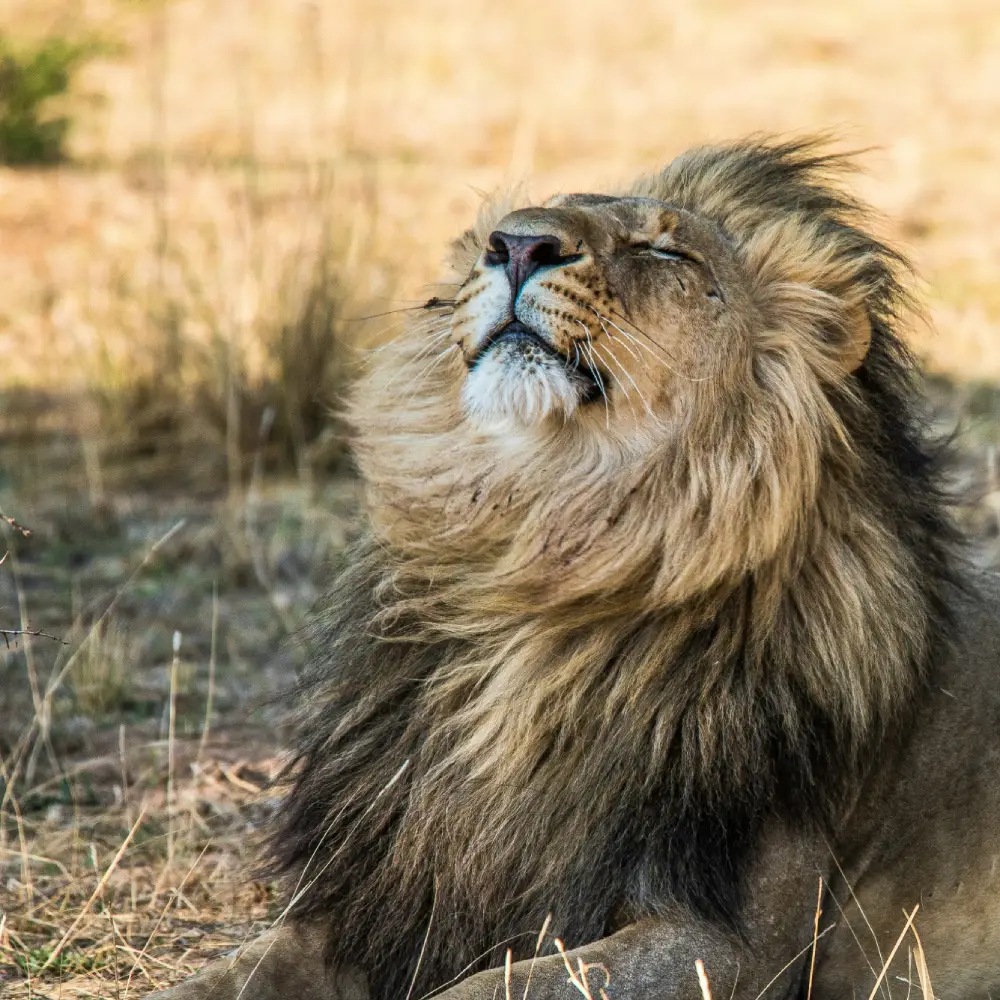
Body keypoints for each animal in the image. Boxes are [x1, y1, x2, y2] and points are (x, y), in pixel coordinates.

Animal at [146, 139, 1000, 1000]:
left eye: (666, 251)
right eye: (501, 230)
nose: (519, 245)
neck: (545, 556)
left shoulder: (737, 944)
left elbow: (488, 989)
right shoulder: (382, 892)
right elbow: (230, 973)